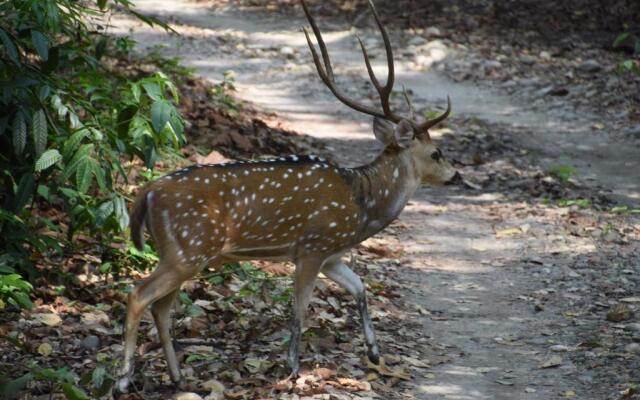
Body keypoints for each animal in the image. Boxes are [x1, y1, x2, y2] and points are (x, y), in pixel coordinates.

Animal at [116, 0, 460, 394]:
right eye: (436, 153)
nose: (456, 174)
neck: (362, 204)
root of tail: (146, 192)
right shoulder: (312, 247)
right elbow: (299, 310)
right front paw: (293, 369)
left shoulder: (331, 255)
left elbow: (360, 289)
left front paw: (374, 354)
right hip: (187, 250)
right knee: (138, 295)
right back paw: (122, 380)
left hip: (180, 254)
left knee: (161, 306)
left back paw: (178, 378)